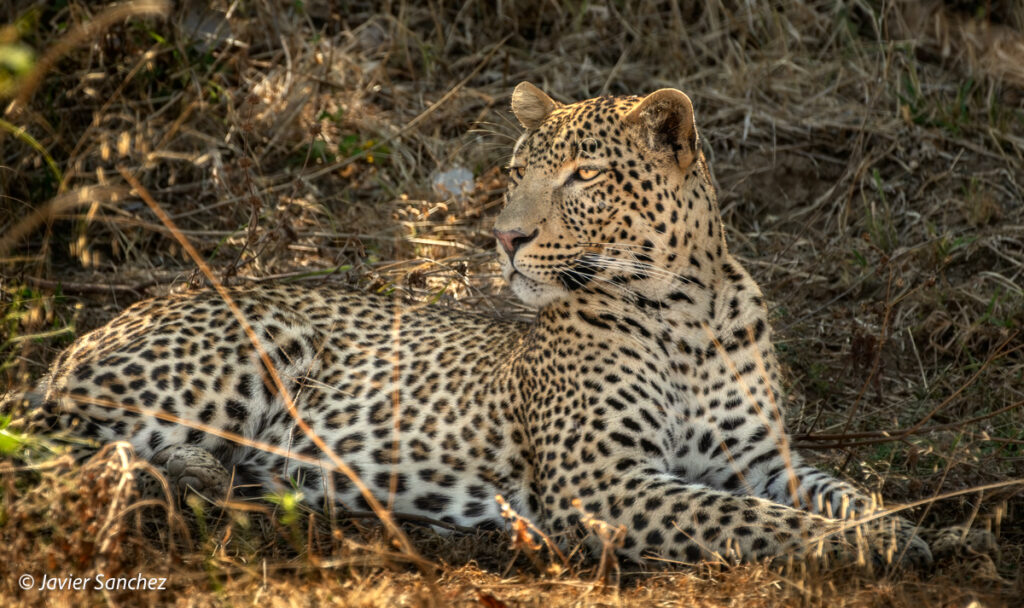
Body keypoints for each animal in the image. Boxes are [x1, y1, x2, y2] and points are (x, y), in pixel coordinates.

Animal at [10, 81, 996, 570]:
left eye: (584, 177)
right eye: (520, 169)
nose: (505, 237)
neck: (689, 311)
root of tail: (109, 322)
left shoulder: (763, 456)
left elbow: (838, 490)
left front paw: (907, 531)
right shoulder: (606, 484)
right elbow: (750, 521)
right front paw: (861, 548)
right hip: (244, 347)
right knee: (59, 440)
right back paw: (205, 473)